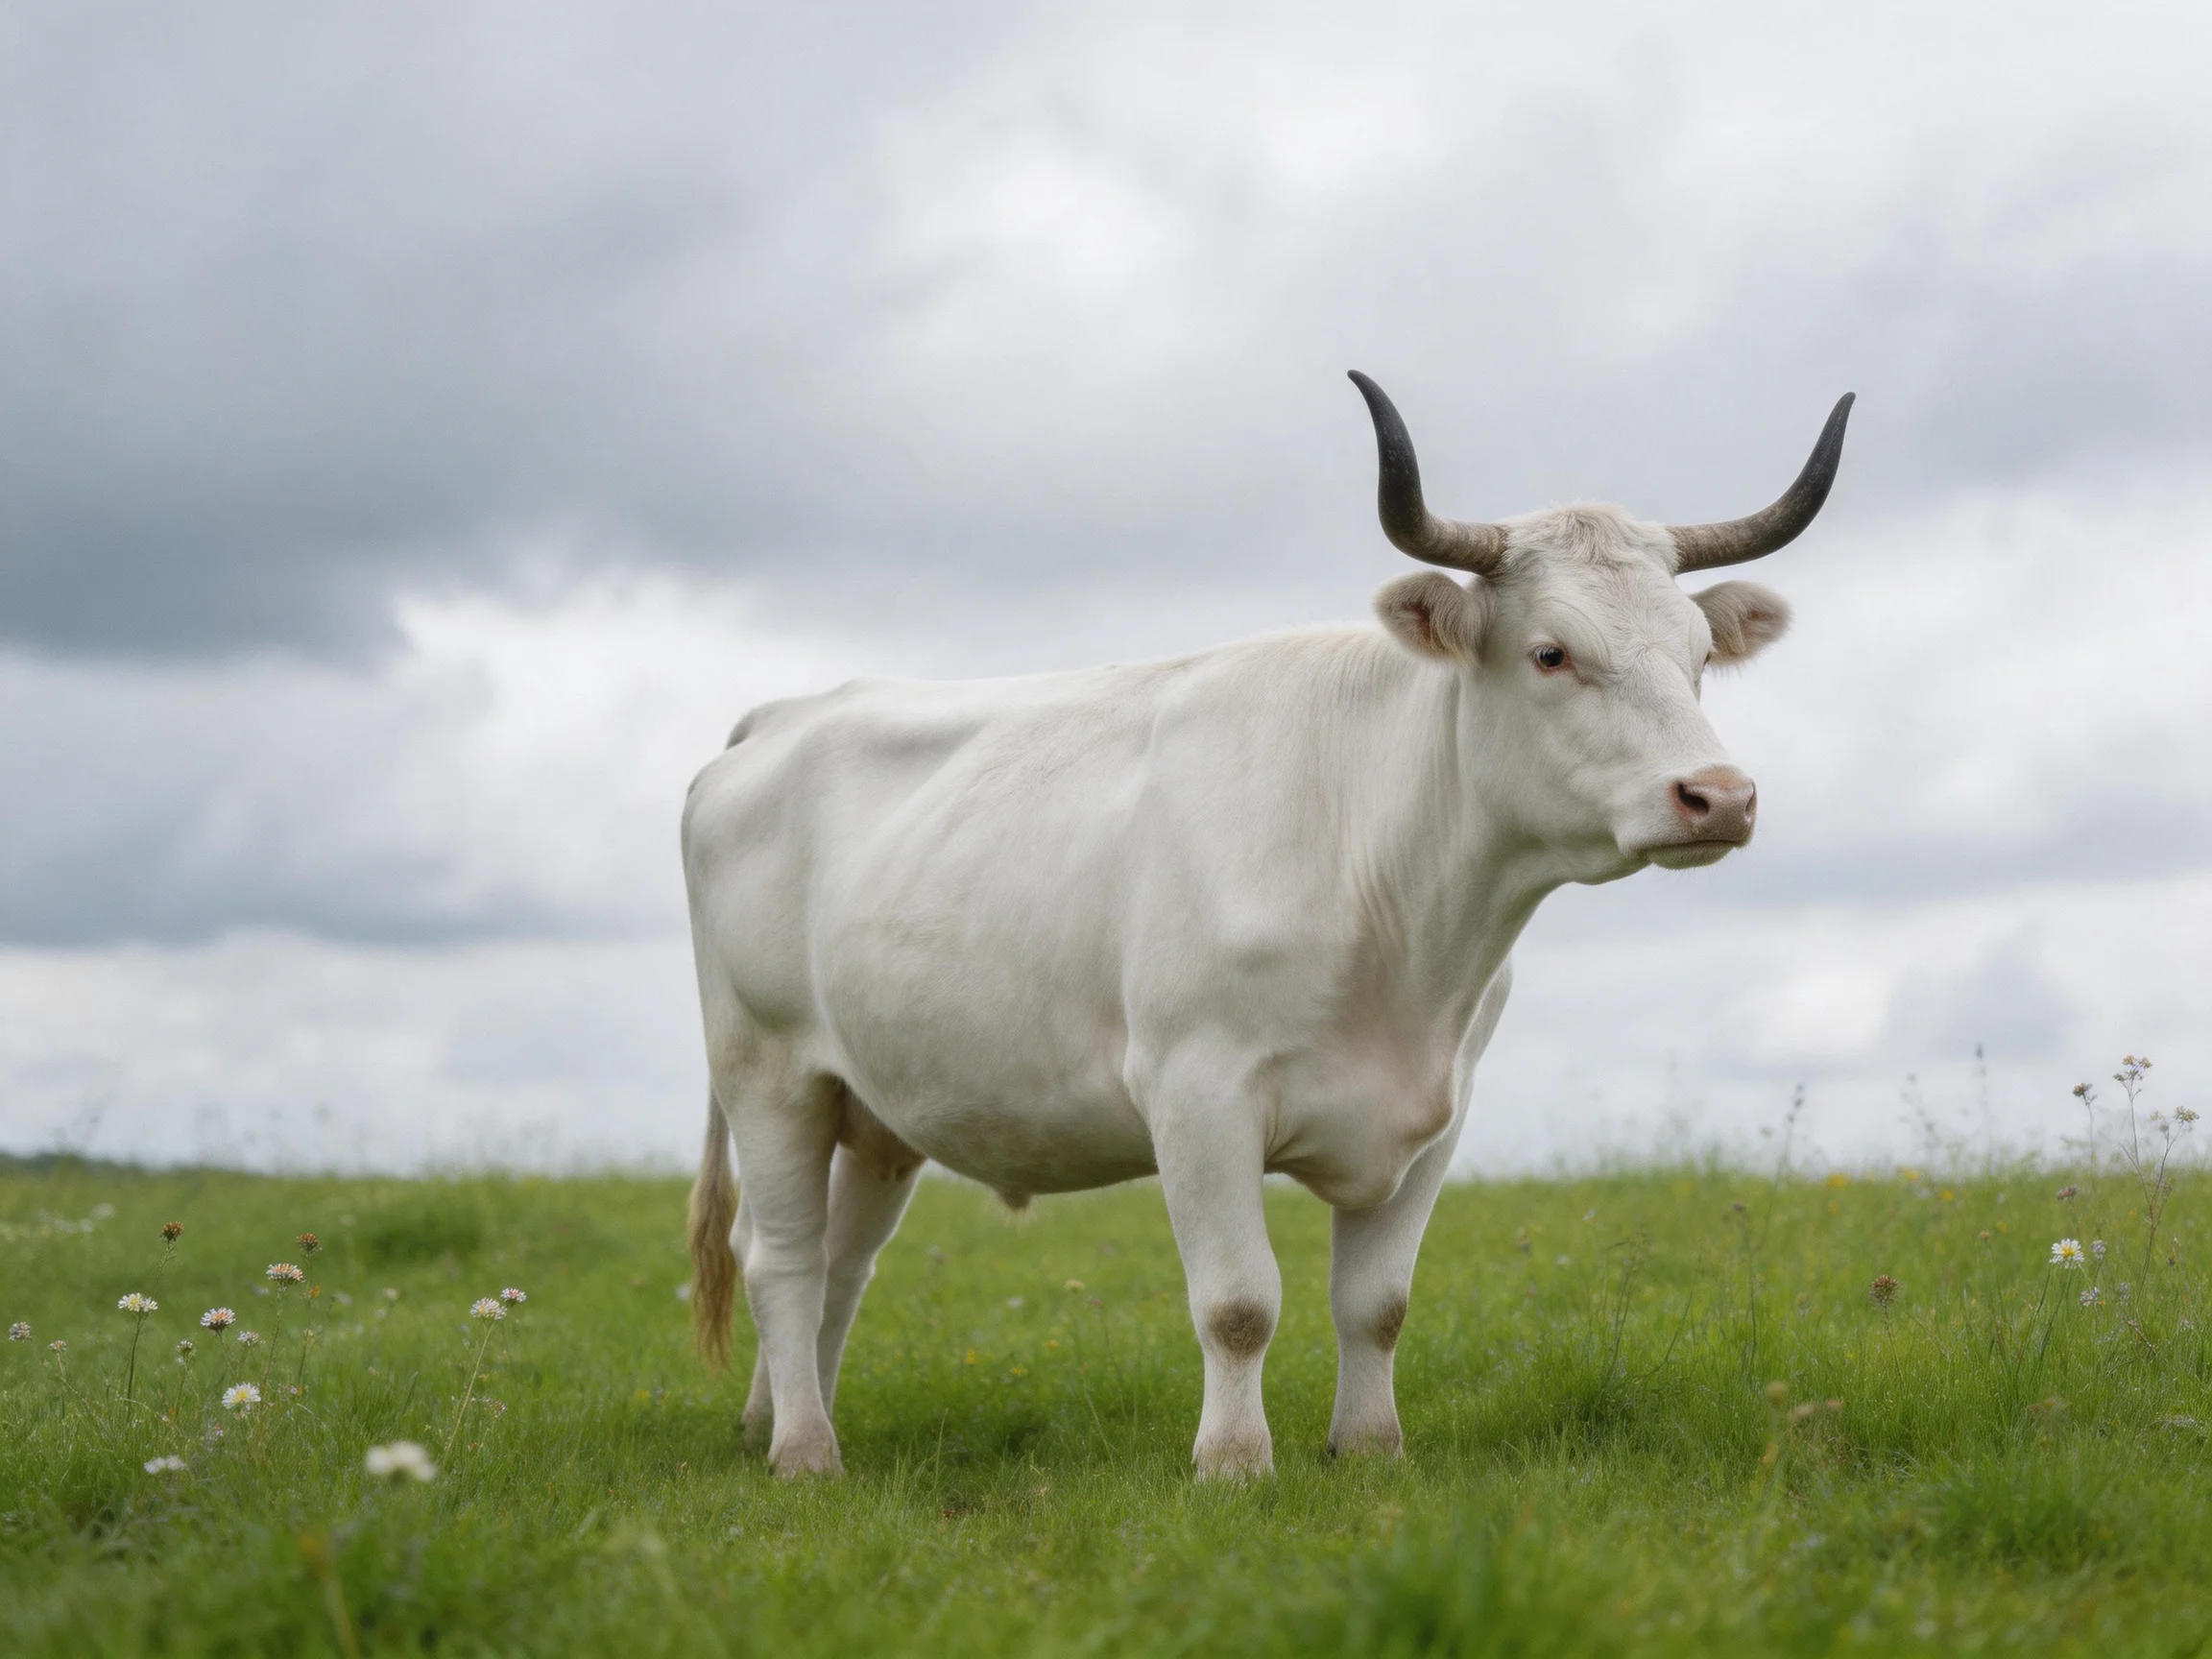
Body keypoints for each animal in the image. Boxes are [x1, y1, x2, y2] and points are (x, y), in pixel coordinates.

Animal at [683, 374, 1852, 1479]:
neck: (1402, 924)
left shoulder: (1440, 1117)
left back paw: (772, 1421)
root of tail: (785, 717)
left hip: (875, 1110)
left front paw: (1369, 1448)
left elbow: (1377, 1306)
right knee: (781, 1258)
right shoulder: (1197, 1092)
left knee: (839, 1264)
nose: (1719, 796)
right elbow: (1239, 1303)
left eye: (1700, 655)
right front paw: (1235, 1463)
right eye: (1552, 653)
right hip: (769, 1073)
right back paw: (806, 1452)